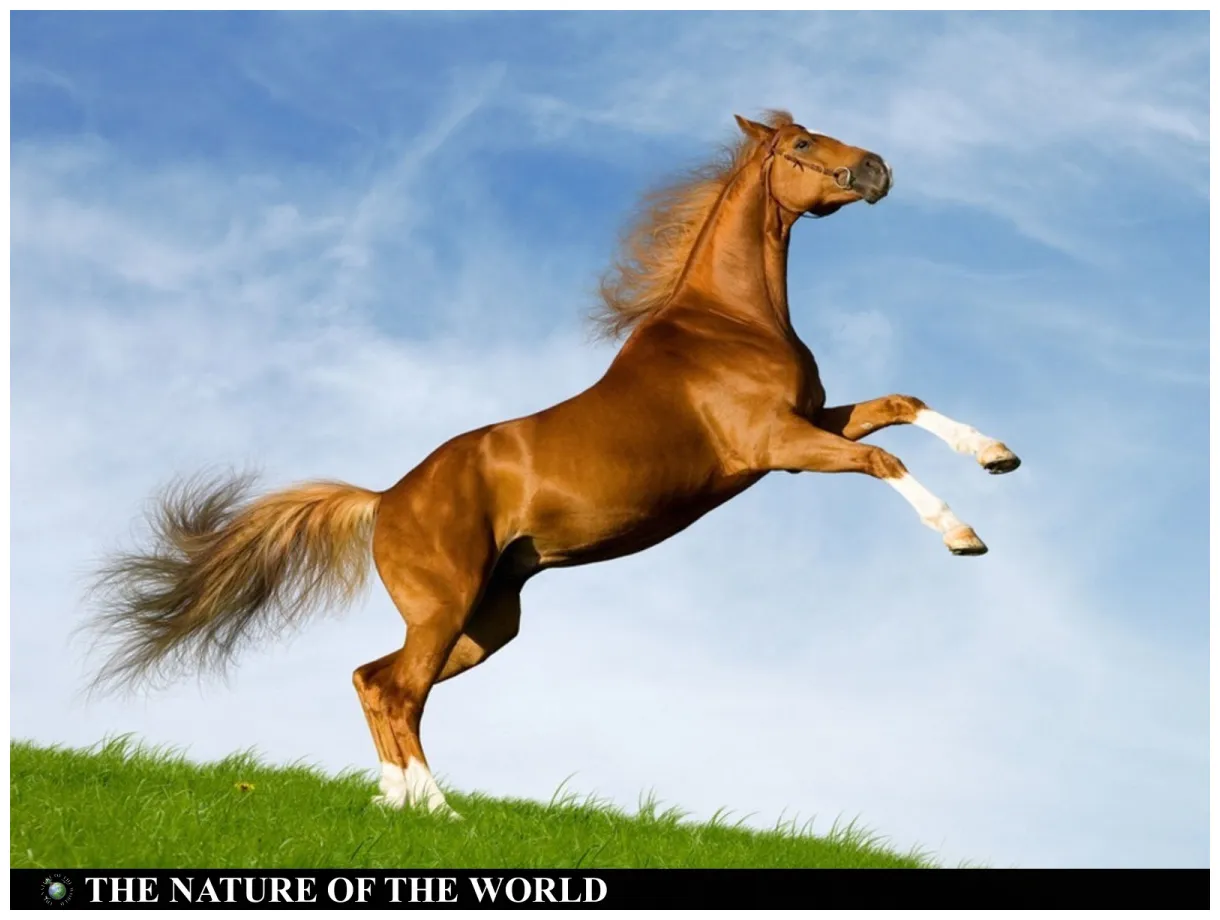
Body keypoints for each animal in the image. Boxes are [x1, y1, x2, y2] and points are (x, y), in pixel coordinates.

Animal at [88, 110, 1019, 817]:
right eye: (799, 145)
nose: (878, 168)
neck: (729, 322)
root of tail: (385, 498)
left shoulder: (810, 421)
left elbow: (900, 404)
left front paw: (998, 455)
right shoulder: (776, 446)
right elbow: (883, 460)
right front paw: (964, 535)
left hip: (486, 623)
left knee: (372, 679)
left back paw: (397, 804)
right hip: (445, 608)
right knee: (395, 689)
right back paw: (440, 811)